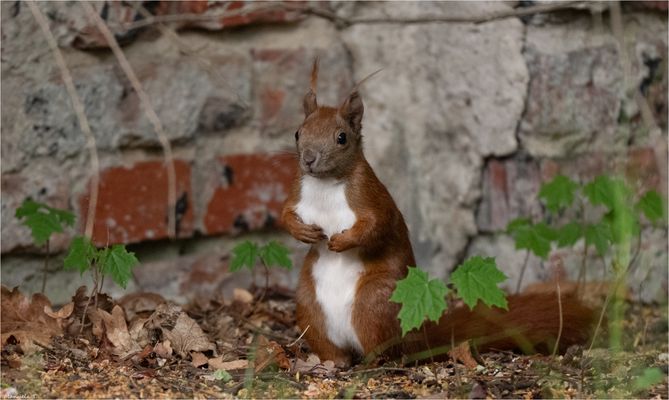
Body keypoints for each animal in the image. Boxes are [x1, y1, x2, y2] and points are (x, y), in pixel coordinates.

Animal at [280, 59, 594, 367]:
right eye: (297, 133)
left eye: (342, 138)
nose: (308, 159)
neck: (325, 185)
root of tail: (417, 337)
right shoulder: (298, 192)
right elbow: (285, 214)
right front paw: (302, 231)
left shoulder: (370, 196)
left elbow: (377, 224)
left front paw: (342, 241)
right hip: (309, 304)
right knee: (330, 342)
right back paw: (334, 362)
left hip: (375, 302)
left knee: (387, 350)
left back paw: (371, 364)